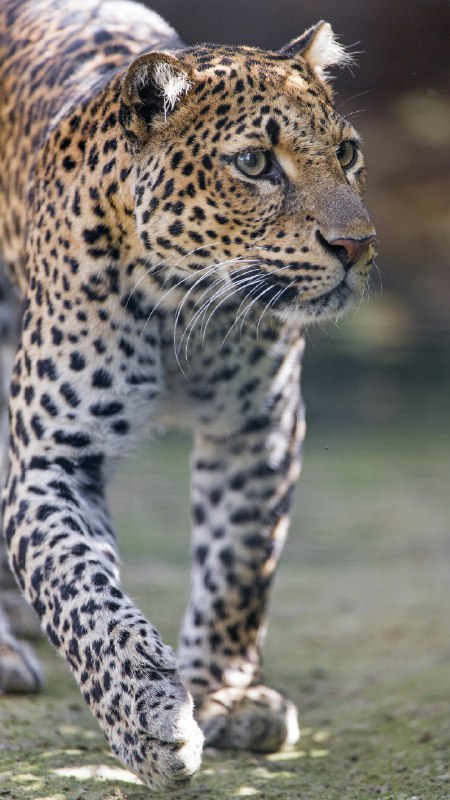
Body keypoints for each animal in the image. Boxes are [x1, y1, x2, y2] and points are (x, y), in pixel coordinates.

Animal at [0, 0, 376, 788]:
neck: (184, 307)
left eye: (348, 153)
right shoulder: (56, 459)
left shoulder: (260, 432)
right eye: (255, 163)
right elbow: (82, 591)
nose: (357, 245)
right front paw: (148, 721)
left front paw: (225, 696)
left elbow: (238, 563)